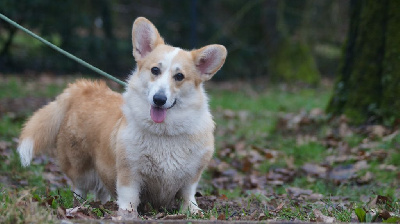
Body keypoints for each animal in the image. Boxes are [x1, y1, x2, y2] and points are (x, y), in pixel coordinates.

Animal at [17, 16, 227, 217]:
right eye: (155, 70)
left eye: (180, 76)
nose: (159, 99)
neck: (164, 133)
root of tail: (84, 88)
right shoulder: (129, 172)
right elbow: (129, 196)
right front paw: (127, 213)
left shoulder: (191, 177)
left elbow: (187, 195)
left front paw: (193, 211)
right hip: (81, 167)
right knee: (79, 188)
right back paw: (80, 206)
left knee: (101, 192)